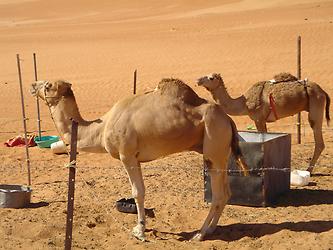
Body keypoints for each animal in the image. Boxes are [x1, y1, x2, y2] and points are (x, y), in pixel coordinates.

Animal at [31, 77, 248, 240]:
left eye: (48, 85)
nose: (33, 85)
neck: (101, 128)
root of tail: (228, 119)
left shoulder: (127, 156)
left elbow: (138, 193)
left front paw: (140, 231)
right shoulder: (136, 159)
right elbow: (140, 191)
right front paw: (141, 228)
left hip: (214, 145)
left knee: (218, 194)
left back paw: (200, 234)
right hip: (222, 153)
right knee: (226, 193)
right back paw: (210, 229)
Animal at [197, 73, 330, 173]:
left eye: (211, 78)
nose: (198, 80)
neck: (244, 103)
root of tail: (323, 92)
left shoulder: (258, 119)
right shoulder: (262, 120)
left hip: (316, 106)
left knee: (319, 142)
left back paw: (308, 170)